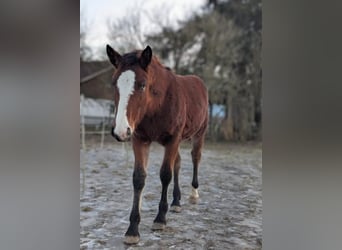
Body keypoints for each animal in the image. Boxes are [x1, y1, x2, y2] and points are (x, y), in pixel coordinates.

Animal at [105, 44, 207, 243]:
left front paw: (160, 219)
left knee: (195, 158)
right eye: (114, 83)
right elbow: (139, 177)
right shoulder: (139, 139)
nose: (120, 131)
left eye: (143, 85)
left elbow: (165, 174)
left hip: (199, 134)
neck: (158, 103)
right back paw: (176, 201)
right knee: (178, 163)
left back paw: (193, 193)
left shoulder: (173, 139)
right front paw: (132, 229)